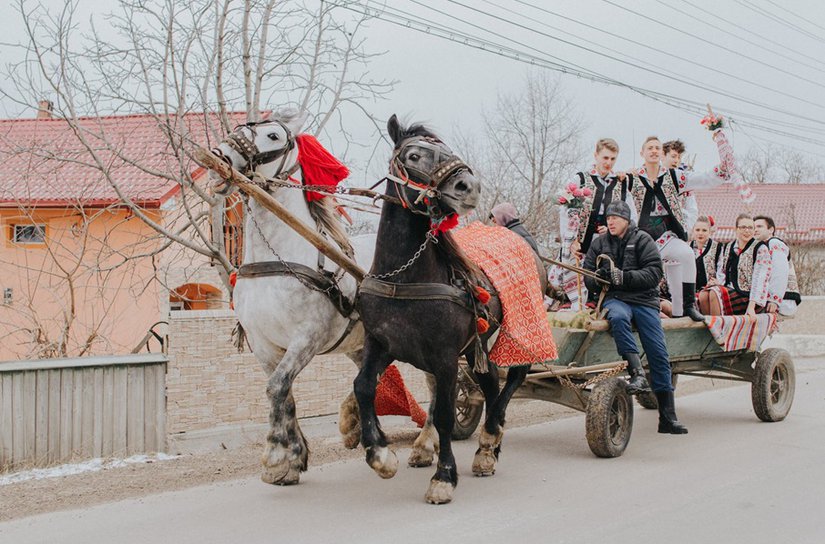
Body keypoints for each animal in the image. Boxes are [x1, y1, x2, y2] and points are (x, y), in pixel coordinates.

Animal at [209, 109, 434, 484]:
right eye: (239, 128)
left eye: (273, 136)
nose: (219, 158)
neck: (281, 259)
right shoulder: (264, 345)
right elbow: (283, 393)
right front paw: (293, 459)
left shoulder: (307, 338)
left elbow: (276, 387)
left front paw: (275, 455)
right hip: (361, 344)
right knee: (371, 380)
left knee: (437, 380)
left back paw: (426, 445)